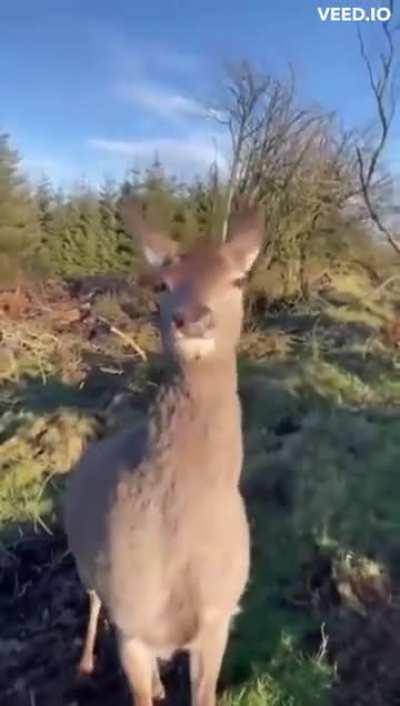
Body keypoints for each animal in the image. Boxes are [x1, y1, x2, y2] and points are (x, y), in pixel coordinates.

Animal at [64, 202, 264, 706]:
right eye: (163, 284)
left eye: (237, 280)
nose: (192, 318)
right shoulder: (132, 620)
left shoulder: (218, 617)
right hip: (88, 563)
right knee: (93, 601)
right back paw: (85, 665)